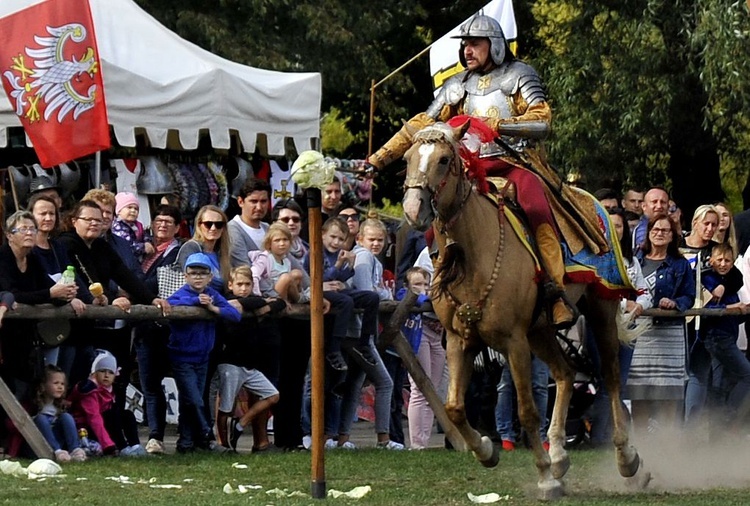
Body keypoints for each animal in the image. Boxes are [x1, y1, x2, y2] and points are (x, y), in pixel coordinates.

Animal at [400, 120, 652, 500]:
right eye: (408, 158)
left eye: (444, 160)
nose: (414, 208)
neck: (475, 252)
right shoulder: (460, 340)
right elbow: (455, 407)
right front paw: (487, 450)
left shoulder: (513, 341)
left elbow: (528, 411)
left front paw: (545, 478)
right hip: (541, 329)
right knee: (565, 374)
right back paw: (560, 455)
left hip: (599, 308)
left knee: (610, 378)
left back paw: (627, 459)